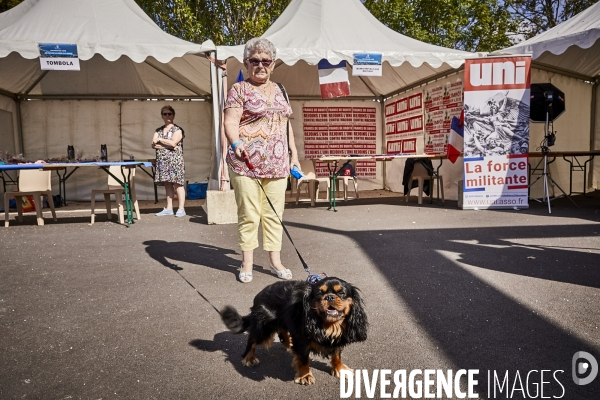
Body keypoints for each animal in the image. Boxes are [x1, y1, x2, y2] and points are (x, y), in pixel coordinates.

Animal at [223, 278, 368, 384]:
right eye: (319, 293)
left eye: (341, 293)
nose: (330, 297)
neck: (329, 325)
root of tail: (259, 294)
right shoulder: (302, 340)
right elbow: (304, 359)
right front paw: (305, 376)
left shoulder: (338, 339)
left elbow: (336, 354)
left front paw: (340, 369)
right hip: (264, 326)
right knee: (252, 338)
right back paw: (249, 358)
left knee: (282, 329)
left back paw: (288, 343)